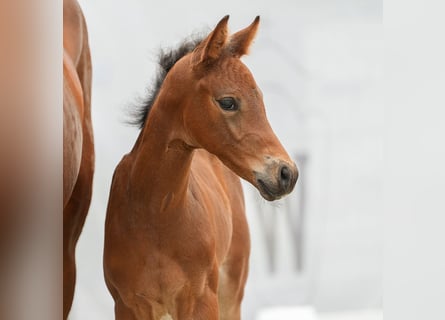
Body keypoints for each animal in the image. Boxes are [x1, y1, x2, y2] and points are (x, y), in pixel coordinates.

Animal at [103, 15, 296, 320]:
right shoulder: (128, 305)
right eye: (228, 101)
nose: (287, 173)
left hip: (231, 291)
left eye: (261, 100)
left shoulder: (201, 300)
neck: (155, 213)